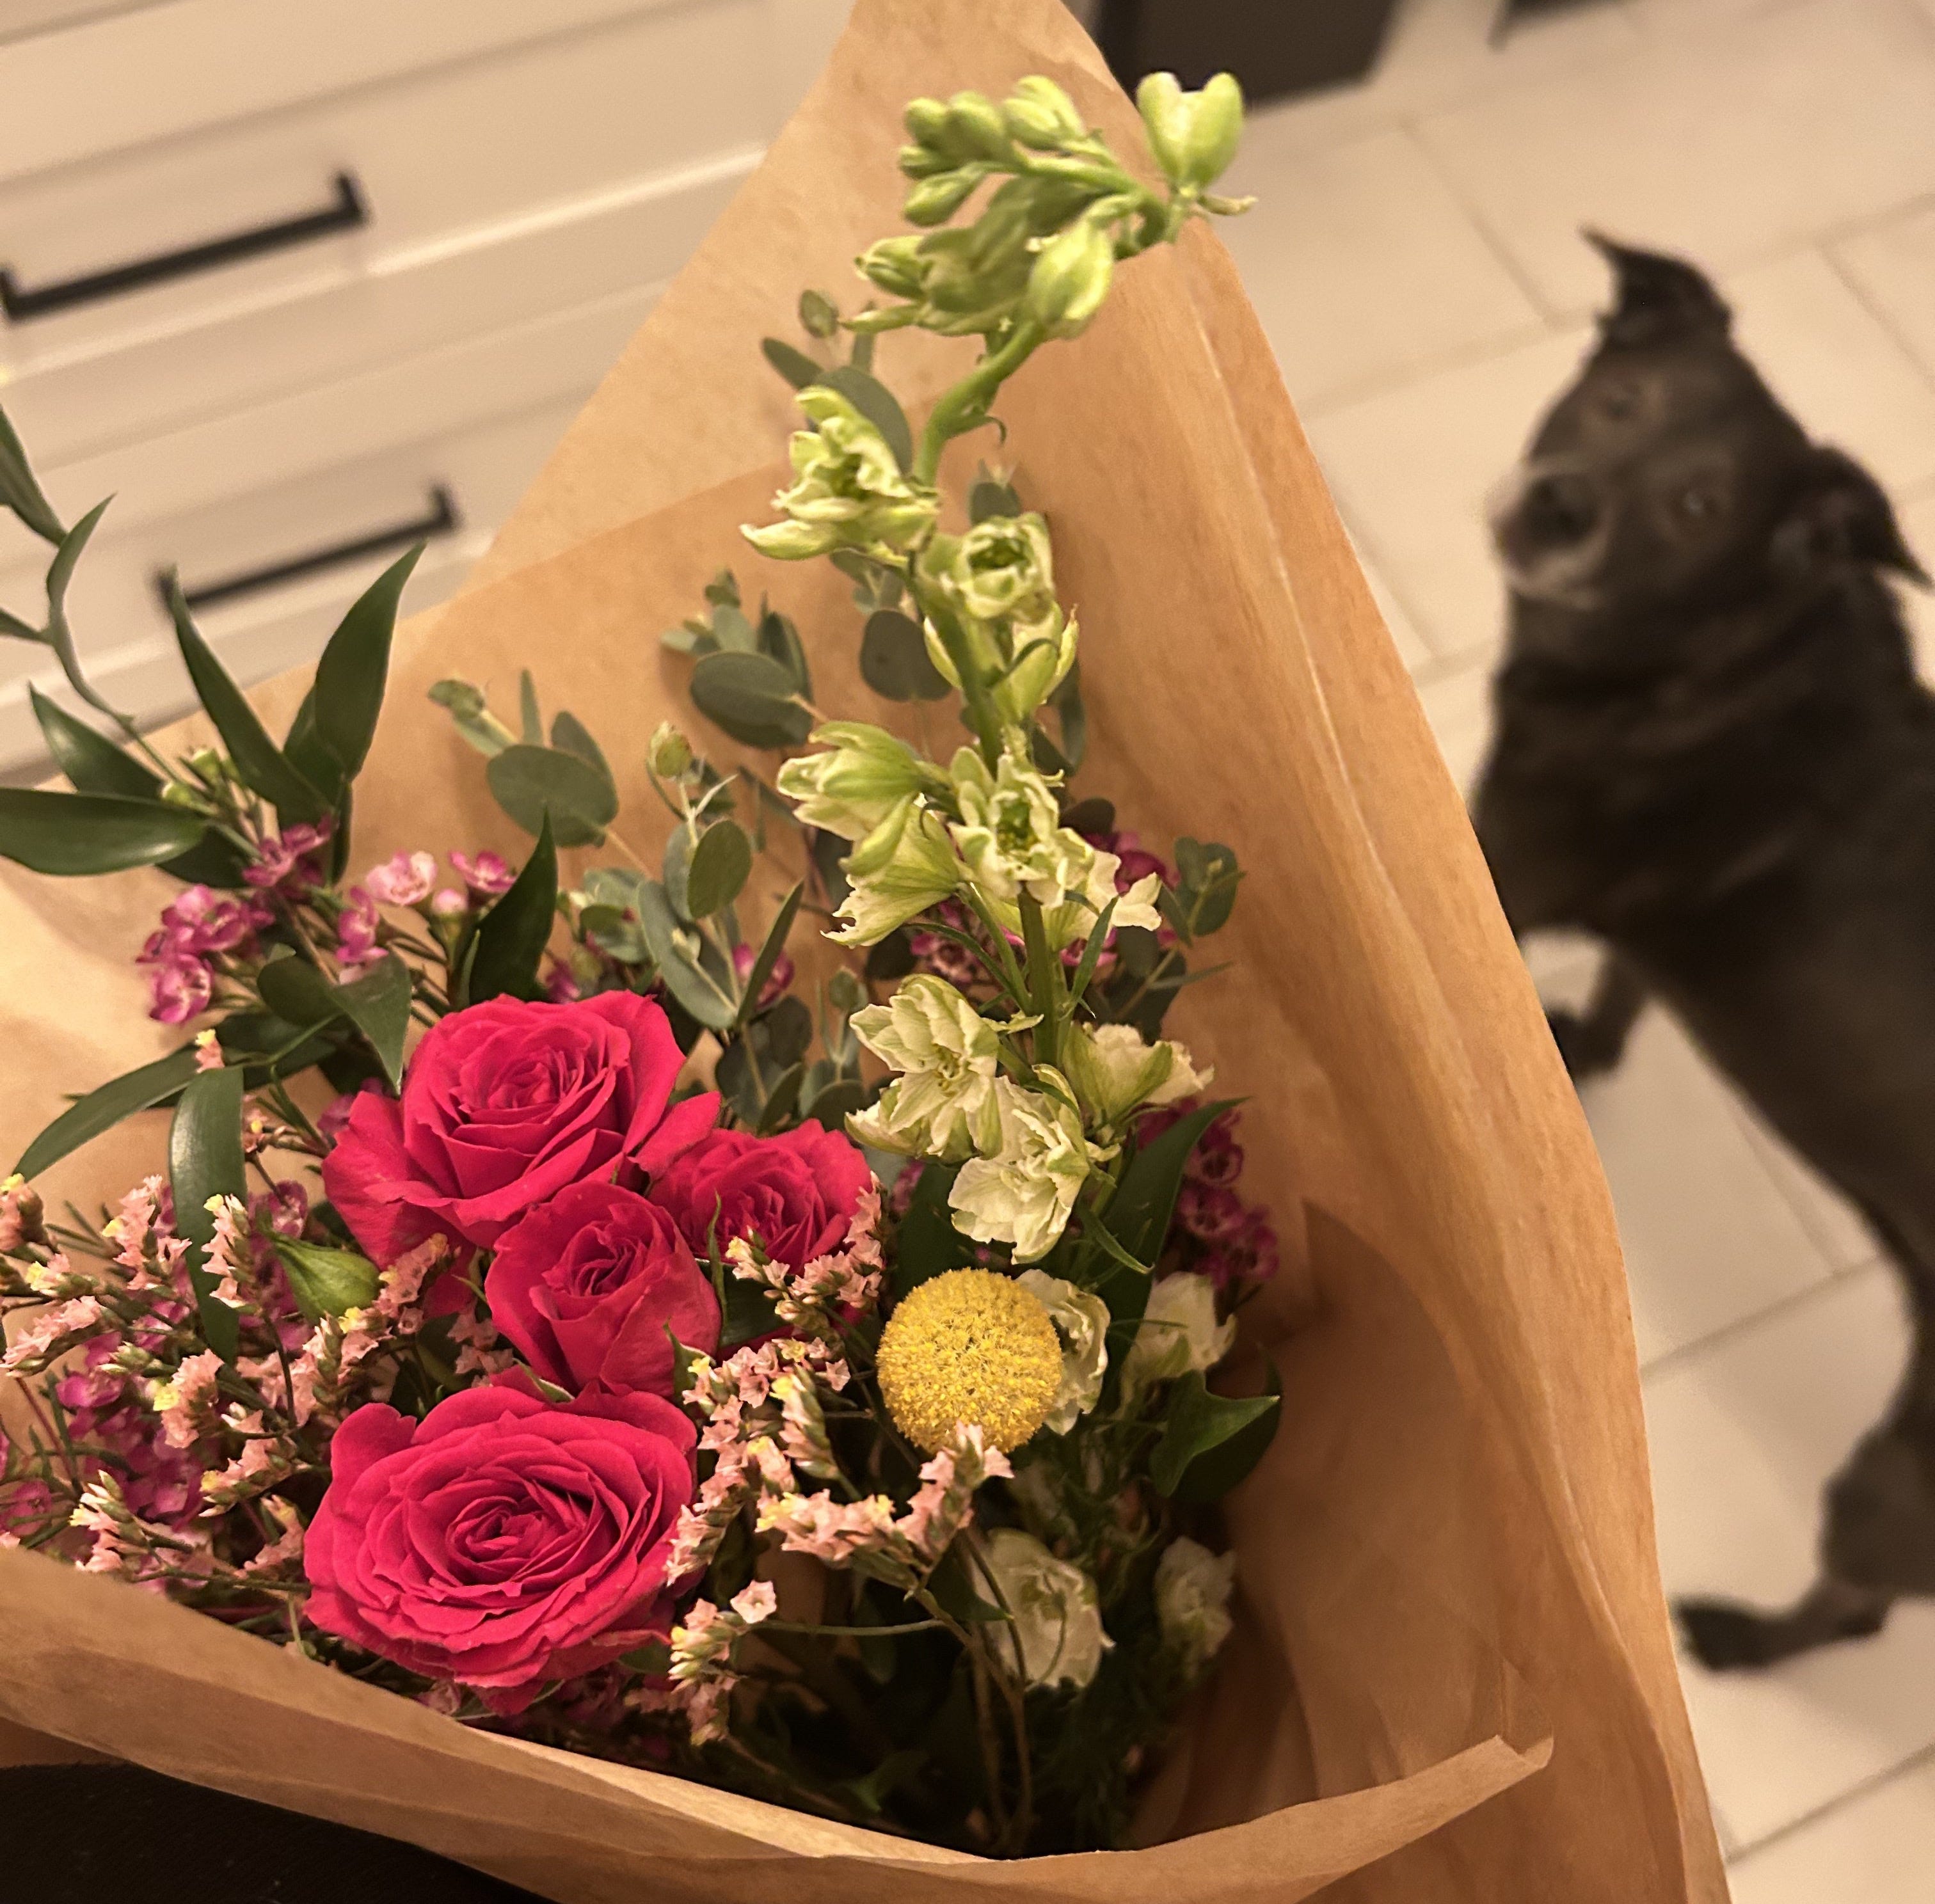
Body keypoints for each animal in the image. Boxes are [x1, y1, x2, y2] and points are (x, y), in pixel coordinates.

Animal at [1473, 234, 1935, 1671]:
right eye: (1618, 402)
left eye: (1697, 507)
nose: (1560, 507)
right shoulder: (1643, 932)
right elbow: (1627, 986)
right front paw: (1584, 1048)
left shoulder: (1500, 863)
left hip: (1892, 1480)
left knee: (1856, 1610)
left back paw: (1734, 1638)